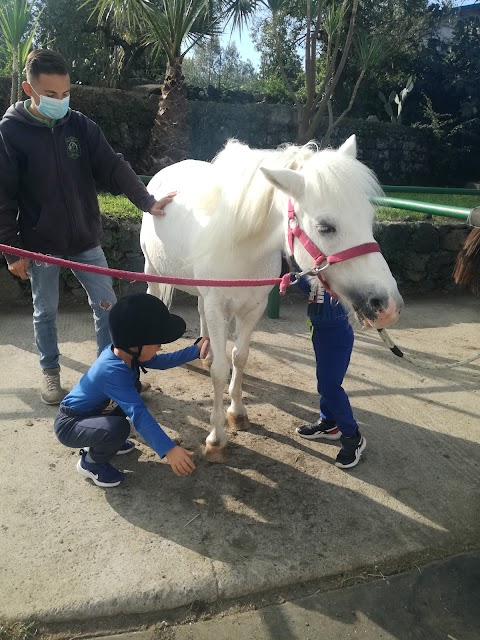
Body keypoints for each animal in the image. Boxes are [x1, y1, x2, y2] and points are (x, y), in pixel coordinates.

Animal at [142, 138, 404, 462]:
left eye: (368, 219)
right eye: (325, 227)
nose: (388, 306)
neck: (242, 246)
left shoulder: (252, 310)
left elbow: (239, 358)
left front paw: (237, 413)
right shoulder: (219, 307)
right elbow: (220, 372)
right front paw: (216, 438)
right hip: (152, 271)